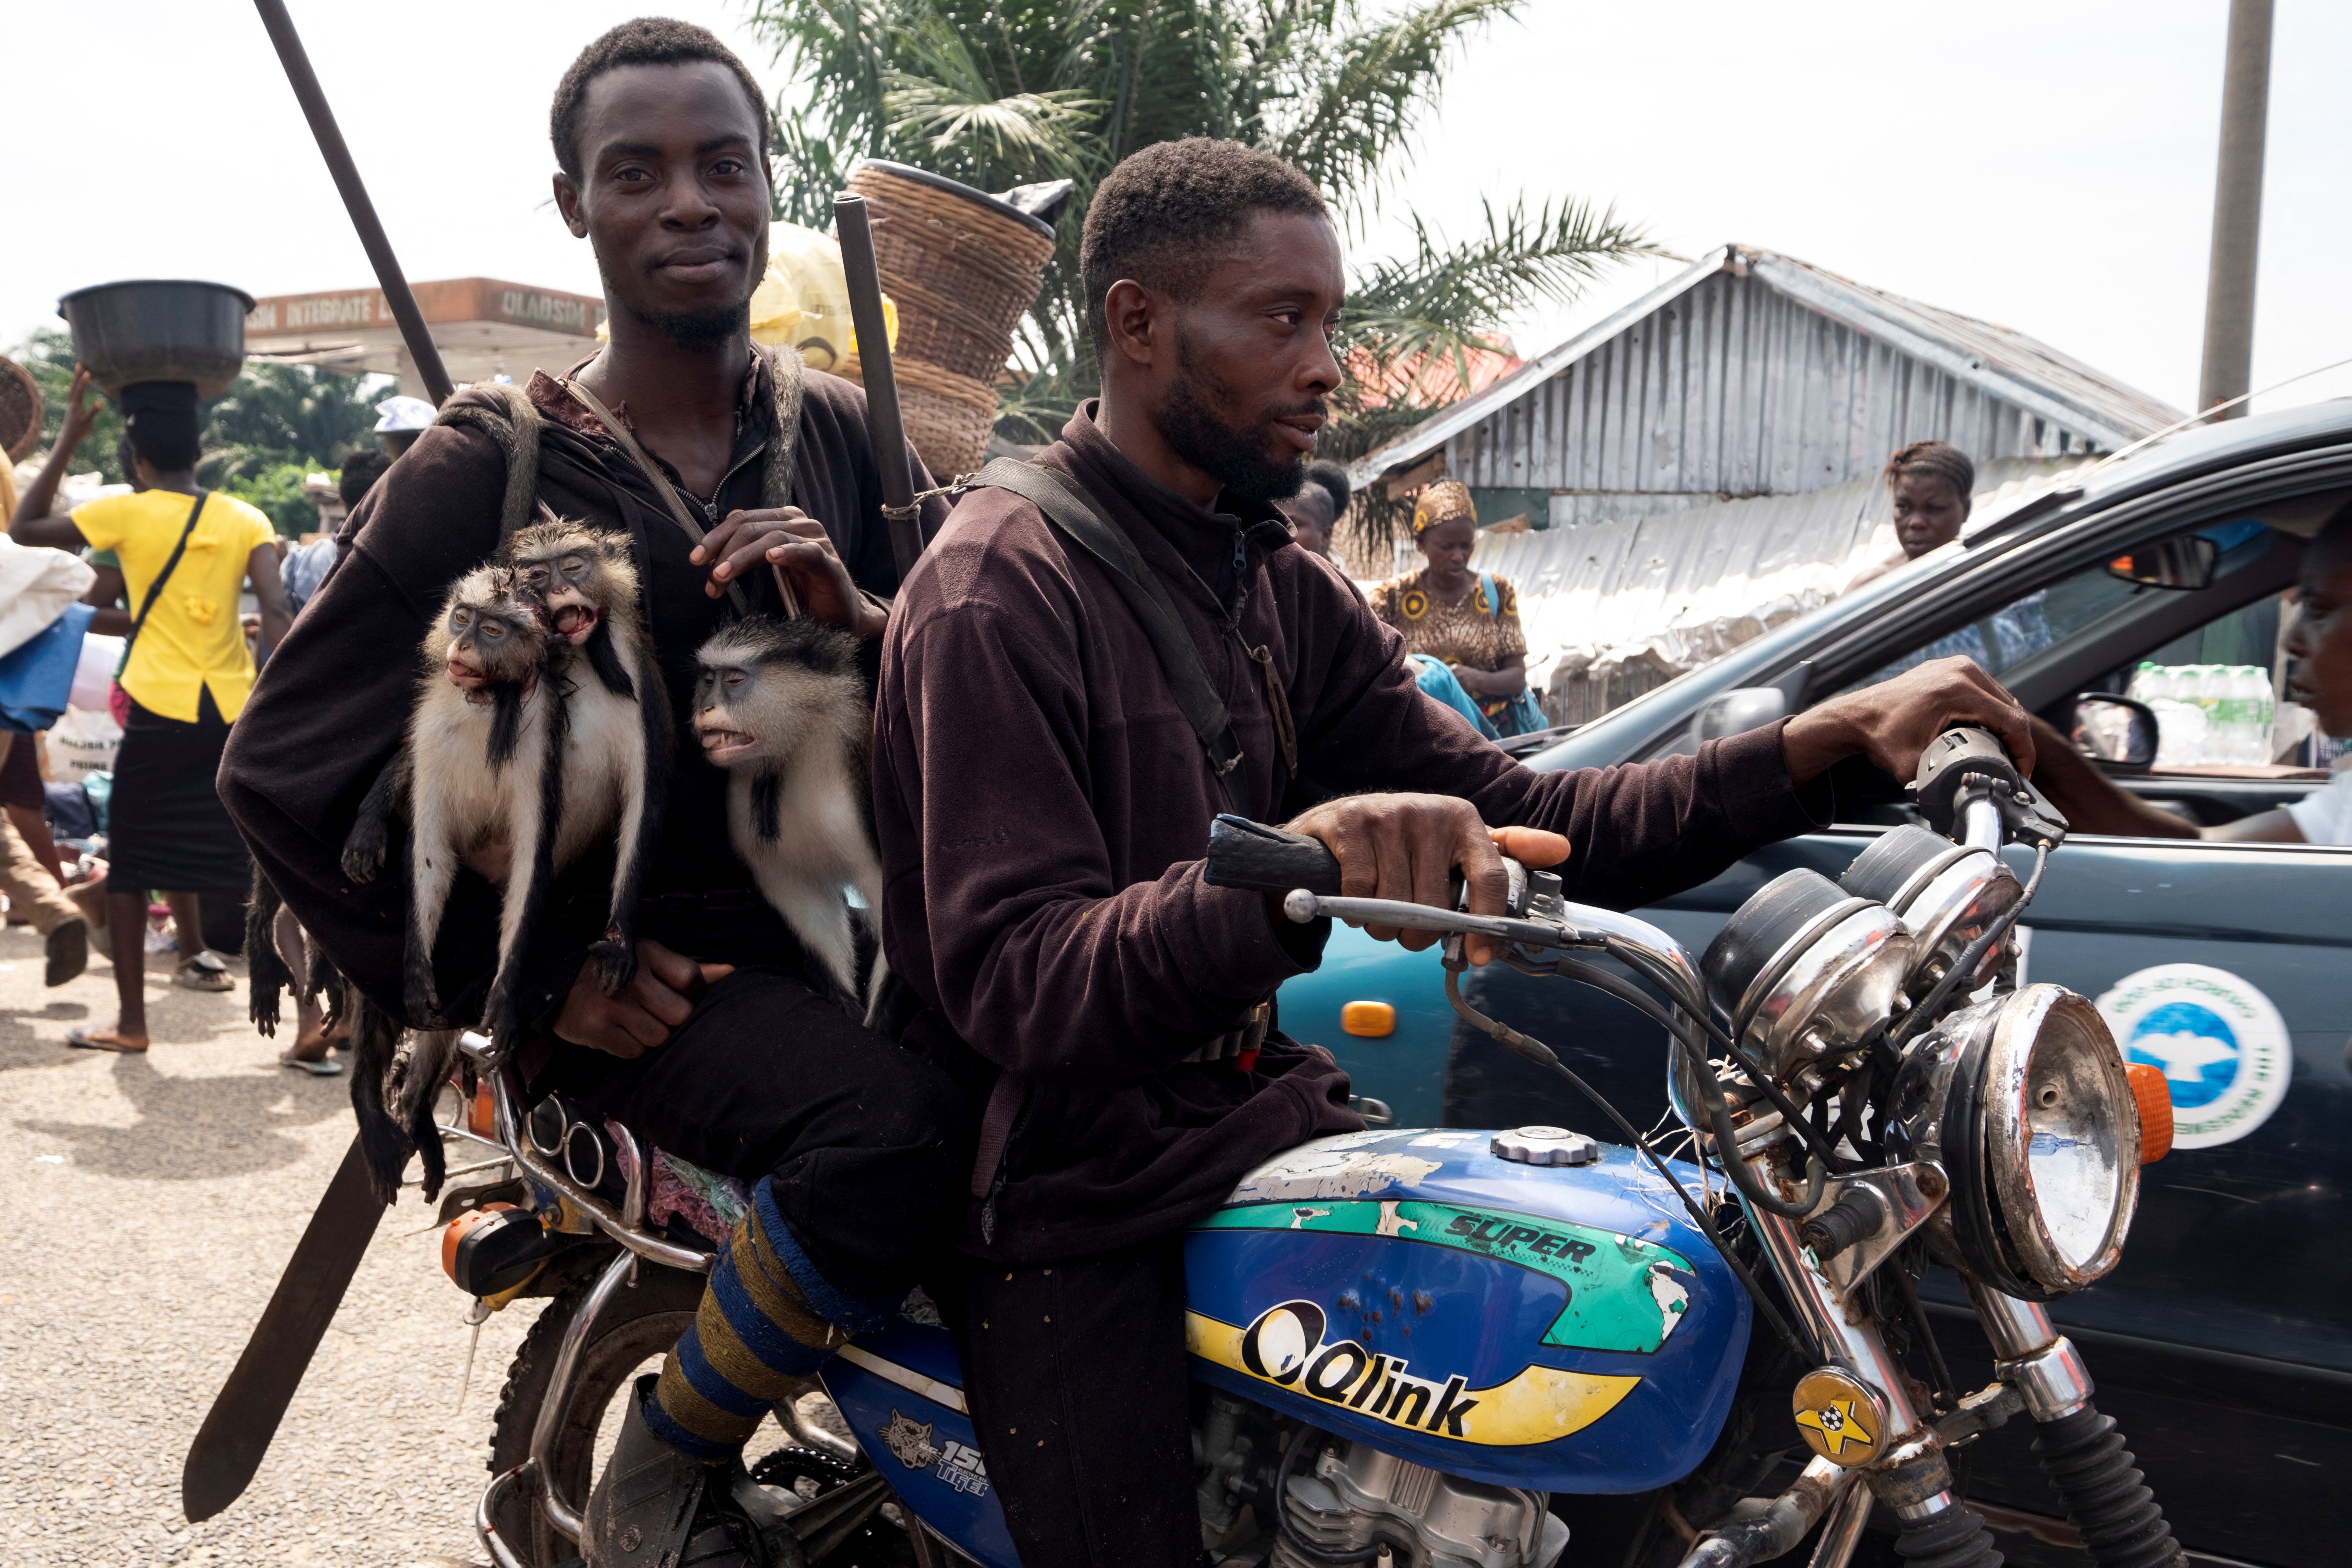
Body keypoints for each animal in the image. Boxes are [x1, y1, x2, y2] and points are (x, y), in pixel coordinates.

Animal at [696, 611, 889, 1006]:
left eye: (734, 679)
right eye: (708, 680)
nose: (706, 707)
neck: (794, 747)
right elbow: (802, 897)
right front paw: (843, 999)